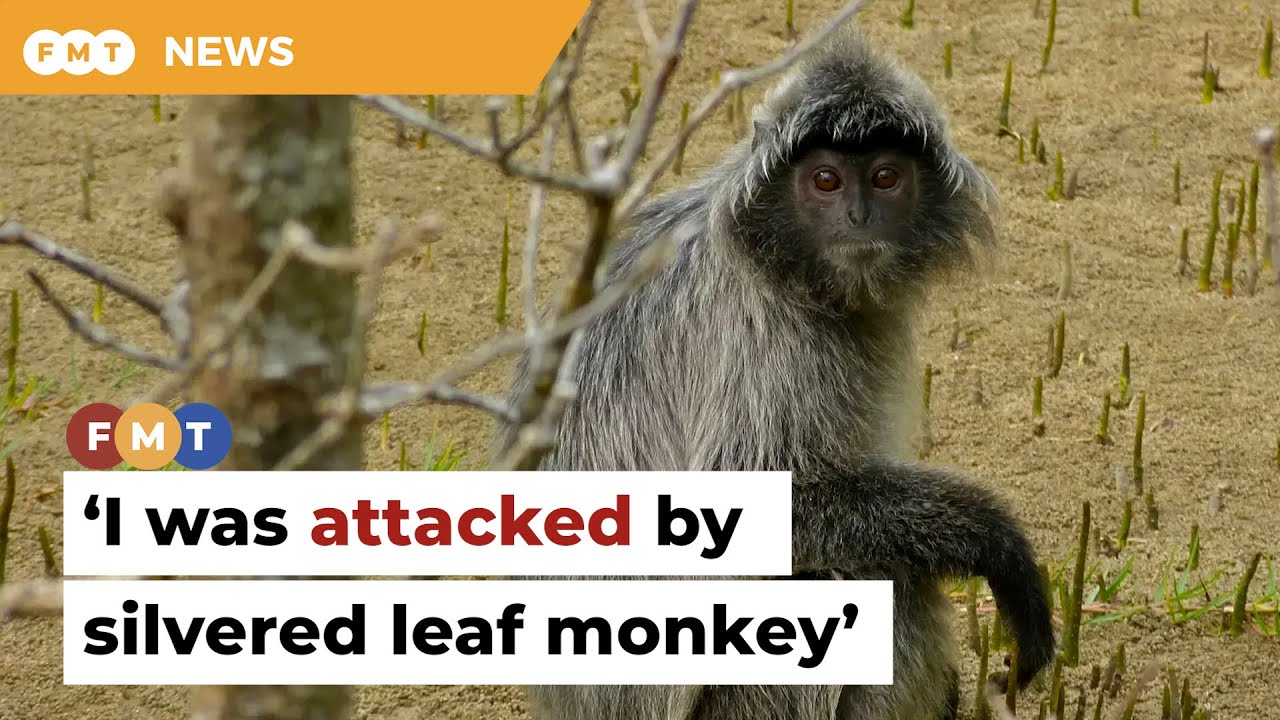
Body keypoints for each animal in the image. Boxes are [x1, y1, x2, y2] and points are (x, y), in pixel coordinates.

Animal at [493, 21, 1054, 720]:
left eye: (886, 177)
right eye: (825, 181)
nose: (859, 218)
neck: (780, 260)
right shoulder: (766, 336)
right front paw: (1000, 546)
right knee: (885, 584)